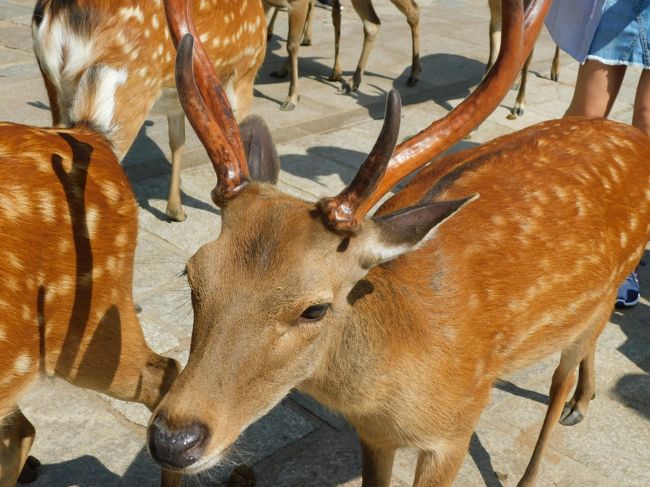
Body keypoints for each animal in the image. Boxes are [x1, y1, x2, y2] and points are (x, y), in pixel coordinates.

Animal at [32, 0, 266, 221]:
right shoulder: (245, 72)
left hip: (56, 91)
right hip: (129, 91)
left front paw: (175, 210)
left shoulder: (178, 96)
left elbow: (177, 140)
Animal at [148, 0, 648, 484]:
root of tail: (634, 135)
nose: (173, 439)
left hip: (607, 289)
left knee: (561, 374)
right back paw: (585, 399)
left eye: (315, 309)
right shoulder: (373, 436)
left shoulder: (456, 428)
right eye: (191, 274)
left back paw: (548, 444)